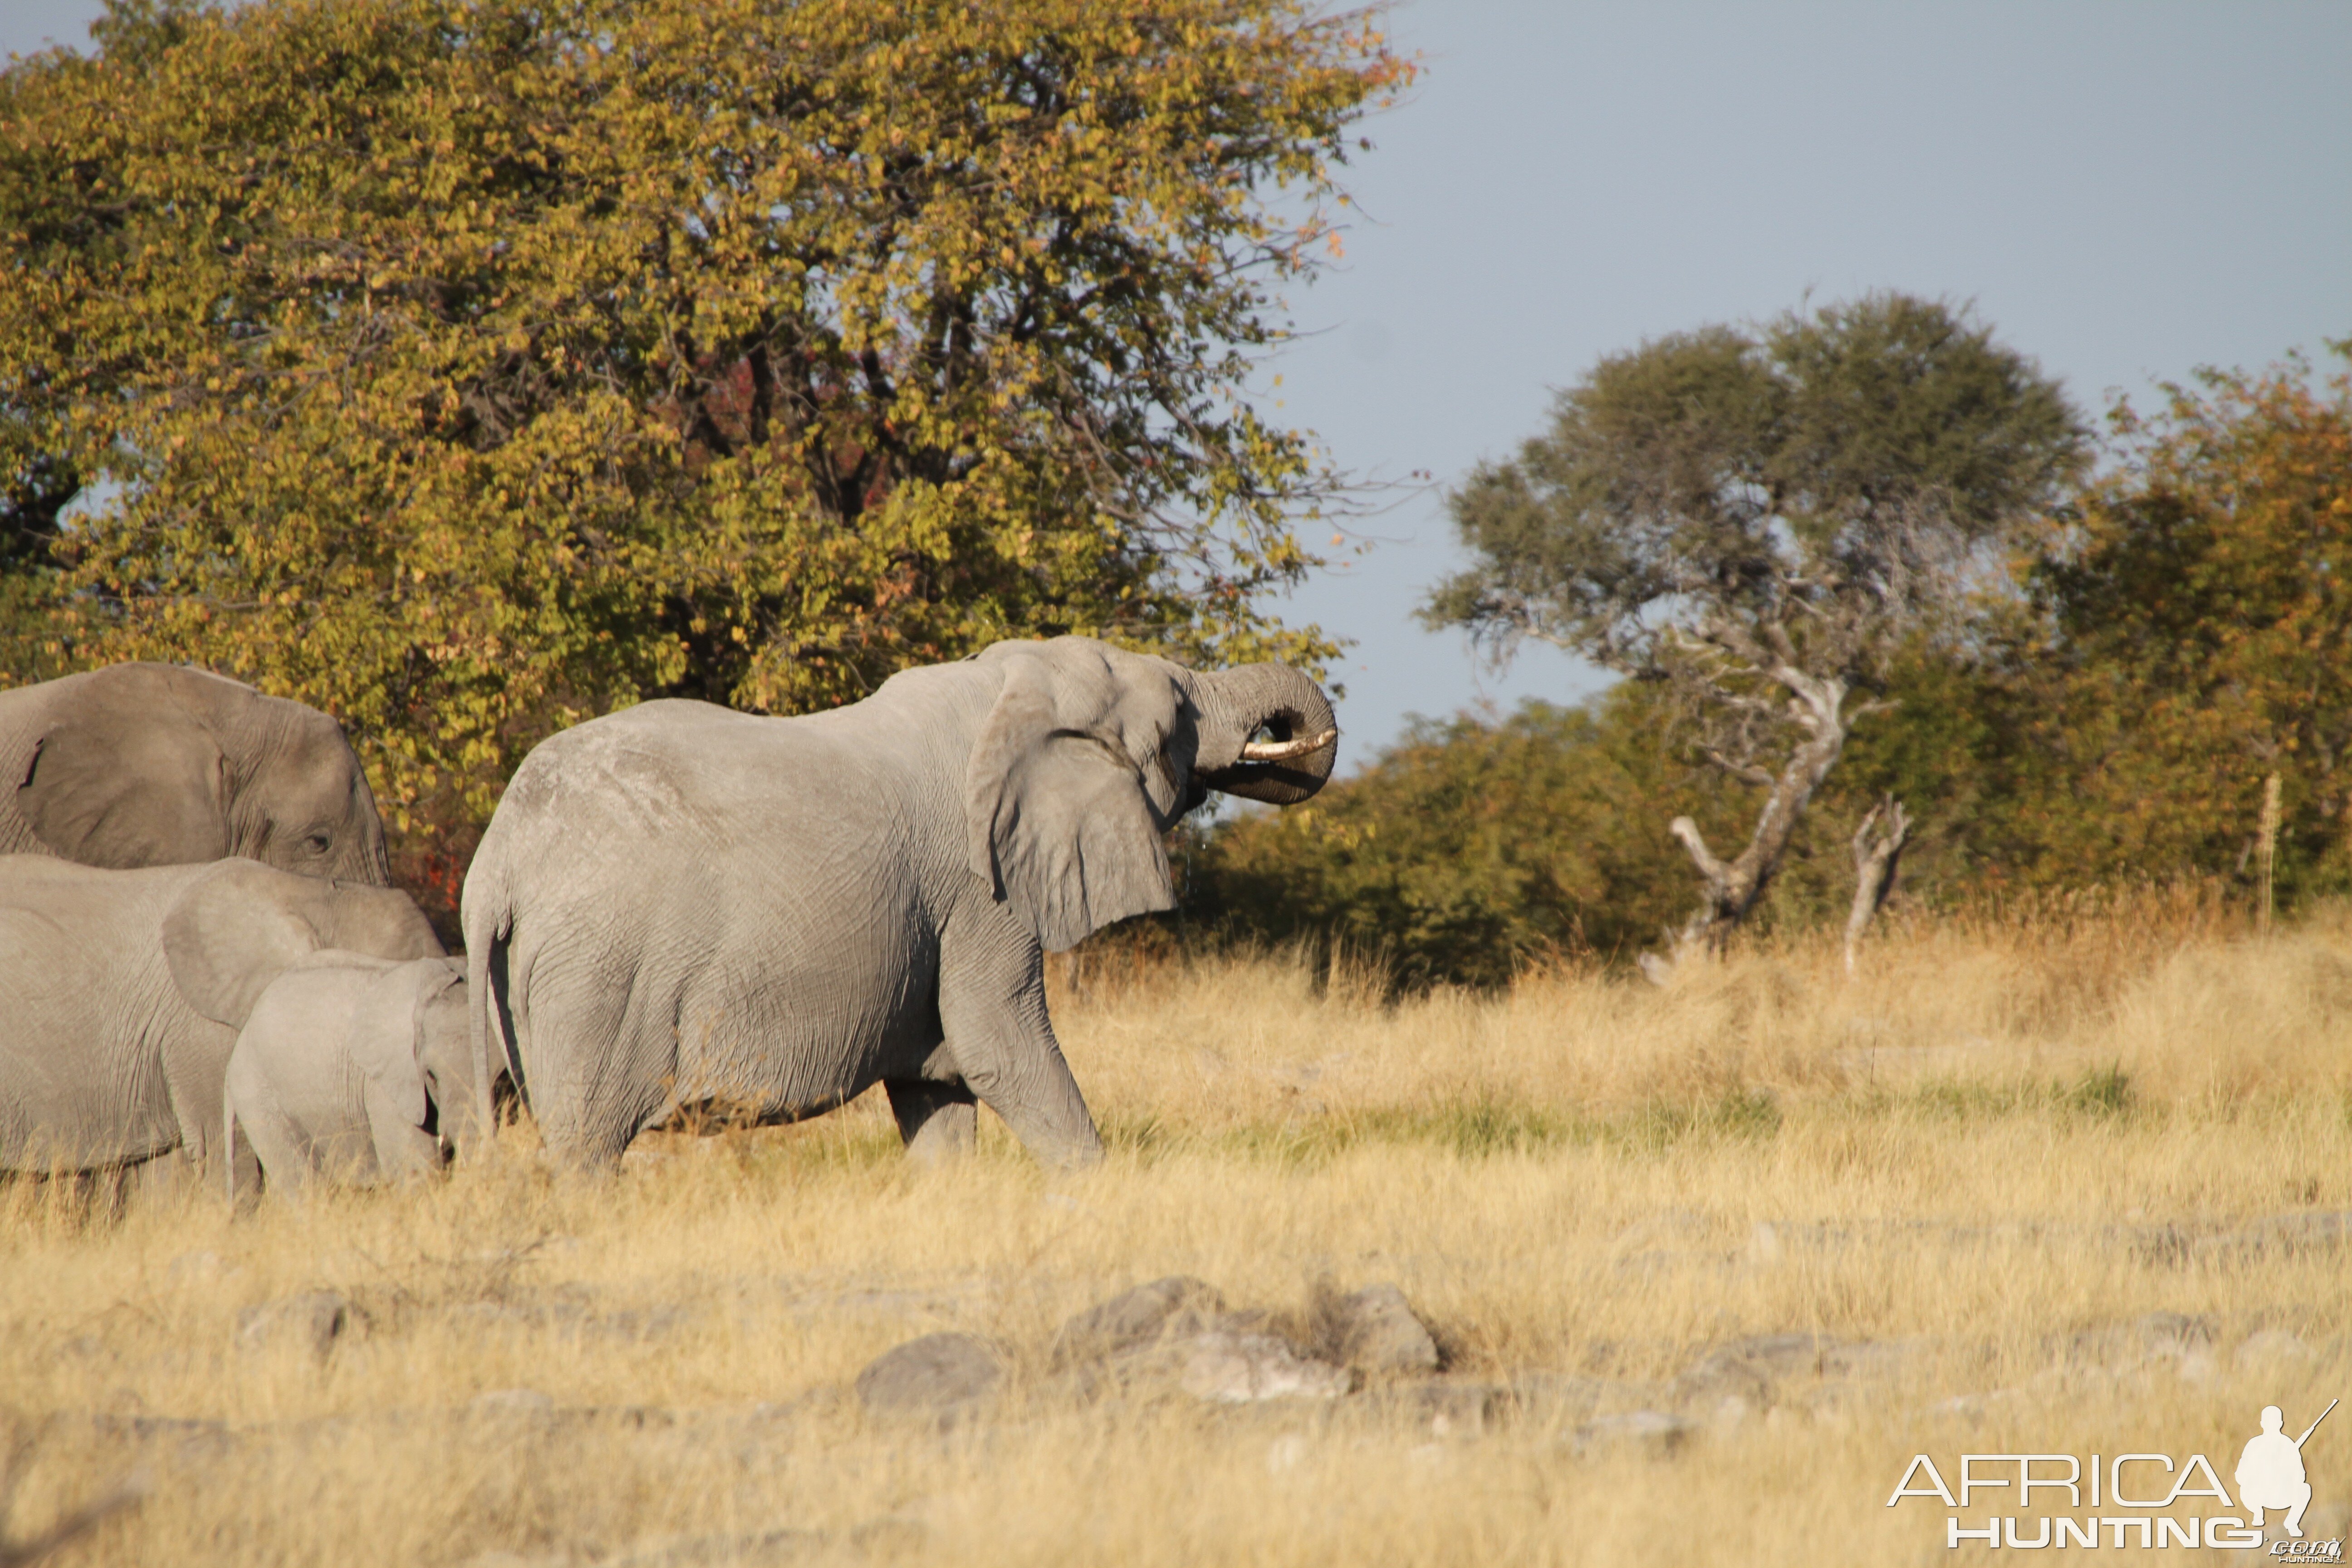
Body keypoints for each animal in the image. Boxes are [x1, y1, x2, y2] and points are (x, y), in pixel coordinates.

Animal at [463, 634, 1345, 1166]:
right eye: (1176, 719)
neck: (1008, 682)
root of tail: (495, 865)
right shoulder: (982, 889)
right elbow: (995, 1042)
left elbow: (939, 1087)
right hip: (599, 974)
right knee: (586, 1145)